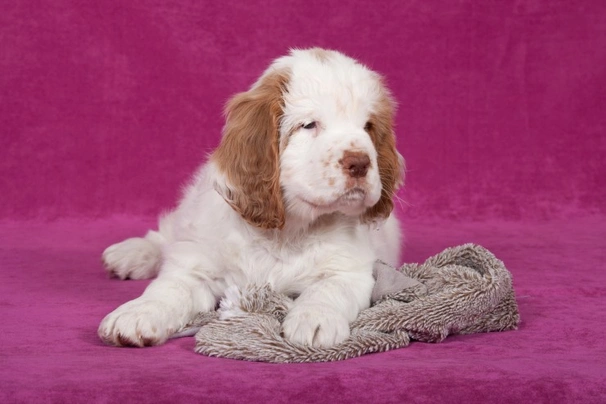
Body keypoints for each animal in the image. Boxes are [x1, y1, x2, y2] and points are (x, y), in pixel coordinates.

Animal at [98, 48, 404, 348]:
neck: (286, 233)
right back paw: (132, 253)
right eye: (309, 125)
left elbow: (329, 288)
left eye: (367, 127)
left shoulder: (351, 270)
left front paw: (314, 319)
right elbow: (171, 287)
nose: (361, 163)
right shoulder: (197, 266)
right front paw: (138, 313)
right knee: (168, 235)